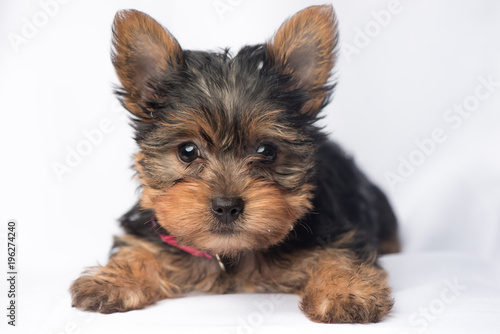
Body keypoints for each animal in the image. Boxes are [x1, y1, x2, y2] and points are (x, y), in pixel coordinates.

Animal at [70, 5, 400, 324]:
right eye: (187, 151)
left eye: (267, 151)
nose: (226, 206)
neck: (230, 253)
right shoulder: (150, 231)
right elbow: (139, 248)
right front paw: (112, 280)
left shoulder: (340, 230)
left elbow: (339, 255)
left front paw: (346, 291)